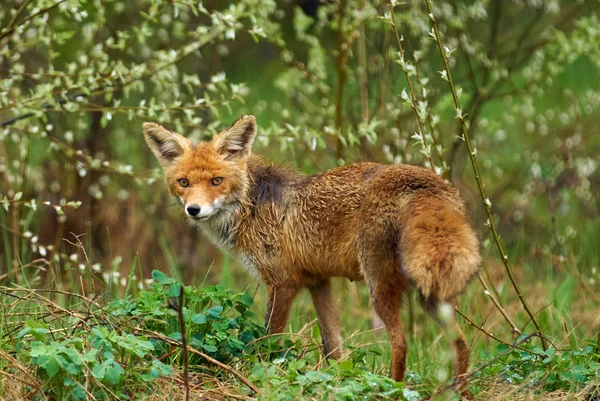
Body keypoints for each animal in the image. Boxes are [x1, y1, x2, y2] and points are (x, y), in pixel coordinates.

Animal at [143, 115, 480, 394]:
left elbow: (269, 340)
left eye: (217, 181)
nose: (194, 209)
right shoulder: (319, 281)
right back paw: (460, 392)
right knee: (462, 345)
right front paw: (338, 382)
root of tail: (420, 181)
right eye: (183, 182)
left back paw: (392, 390)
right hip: (431, 294)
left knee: (401, 345)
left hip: (379, 286)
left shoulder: (283, 282)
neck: (253, 206)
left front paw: (260, 377)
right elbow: (334, 347)